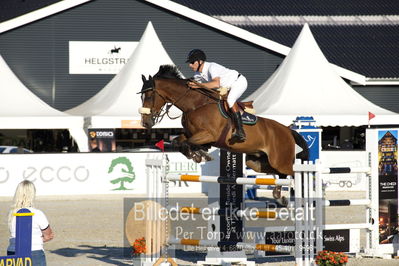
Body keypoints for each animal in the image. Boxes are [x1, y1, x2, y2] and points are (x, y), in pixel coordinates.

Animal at [139, 64, 310, 197]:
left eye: (150, 95)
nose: (145, 123)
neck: (195, 105)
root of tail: (287, 130)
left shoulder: (208, 135)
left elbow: (187, 144)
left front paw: (200, 155)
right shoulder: (190, 134)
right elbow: (179, 143)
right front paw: (199, 154)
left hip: (280, 160)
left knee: (293, 174)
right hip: (257, 162)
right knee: (281, 175)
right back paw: (278, 195)